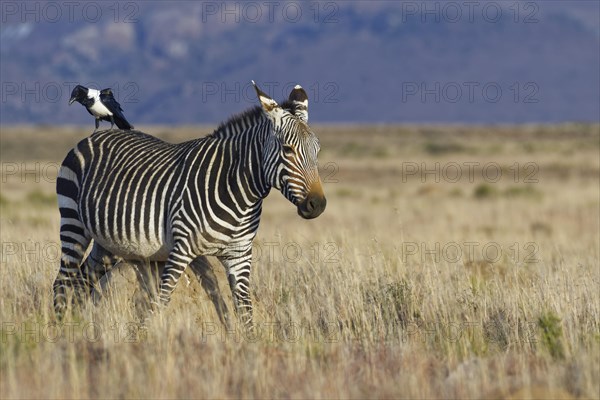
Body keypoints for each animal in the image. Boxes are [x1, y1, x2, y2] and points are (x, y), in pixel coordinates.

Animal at [55, 82, 328, 328]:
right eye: (288, 150)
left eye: (317, 151)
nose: (317, 204)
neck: (238, 192)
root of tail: (94, 137)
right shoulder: (181, 250)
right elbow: (161, 301)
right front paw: (149, 339)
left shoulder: (239, 255)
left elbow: (245, 309)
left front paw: (250, 347)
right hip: (73, 222)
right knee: (63, 280)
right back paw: (61, 331)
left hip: (109, 244)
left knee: (82, 282)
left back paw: (77, 325)